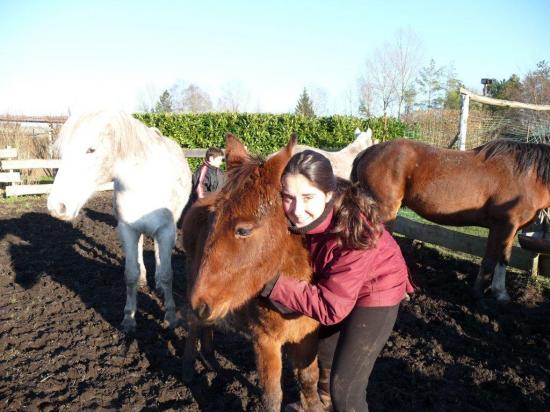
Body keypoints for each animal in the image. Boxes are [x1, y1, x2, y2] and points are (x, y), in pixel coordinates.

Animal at [48, 111, 194, 334]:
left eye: (91, 149)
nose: (57, 207)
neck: (145, 182)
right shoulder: (127, 230)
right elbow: (130, 274)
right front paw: (129, 318)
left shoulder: (167, 230)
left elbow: (167, 274)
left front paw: (170, 317)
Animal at [183, 134, 326, 410]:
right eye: (213, 221)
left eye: (243, 230)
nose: (201, 302)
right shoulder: (265, 340)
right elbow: (272, 396)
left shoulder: (307, 335)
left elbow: (308, 380)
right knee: (195, 323)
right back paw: (192, 365)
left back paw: (212, 360)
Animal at [354, 138, 550, 302]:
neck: (527, 177)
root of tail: (368, 152)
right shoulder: (502, 225)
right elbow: (492, 260)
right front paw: (483, 294)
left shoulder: (508, 228)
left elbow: (500, 258)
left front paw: (495, 293)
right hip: (385, 211)